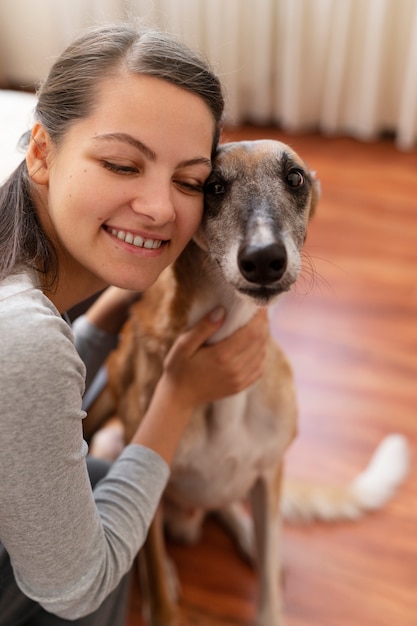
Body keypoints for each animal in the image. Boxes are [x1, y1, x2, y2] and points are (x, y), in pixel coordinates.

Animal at [88, 139, 410, 620]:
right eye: (212, 187)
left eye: (294, 177)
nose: (263, 260)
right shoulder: (142, 473)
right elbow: (158, 586)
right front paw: (161, 594)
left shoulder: (271, 469)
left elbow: (270, 590)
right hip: (112, 447)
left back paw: (250, 540)